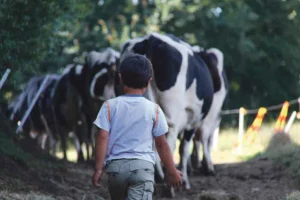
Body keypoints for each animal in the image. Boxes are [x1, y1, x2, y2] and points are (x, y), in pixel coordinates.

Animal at [120, 32, 214, 196]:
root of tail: (152, 39)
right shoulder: (191, 124)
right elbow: (184, 150)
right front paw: (185, 182)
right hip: (171, 118)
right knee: (168, 146)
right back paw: (169, 186)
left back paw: (157, 178)